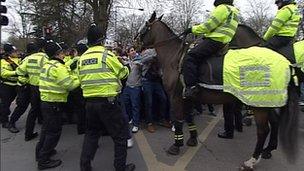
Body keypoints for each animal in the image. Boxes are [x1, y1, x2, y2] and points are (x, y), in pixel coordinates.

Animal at [137, 11, 300, 170]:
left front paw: (176, 145)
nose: (136, 44)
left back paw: (251, 160)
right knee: (274, 123)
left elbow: (178, 119)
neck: (174, 56)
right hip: (268, 101)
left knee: (263, 130)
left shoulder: (175, 97)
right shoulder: (187, 97)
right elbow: (189, 117)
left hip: (258, 102)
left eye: (143, 28)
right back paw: (267, 151)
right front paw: (192, 139)